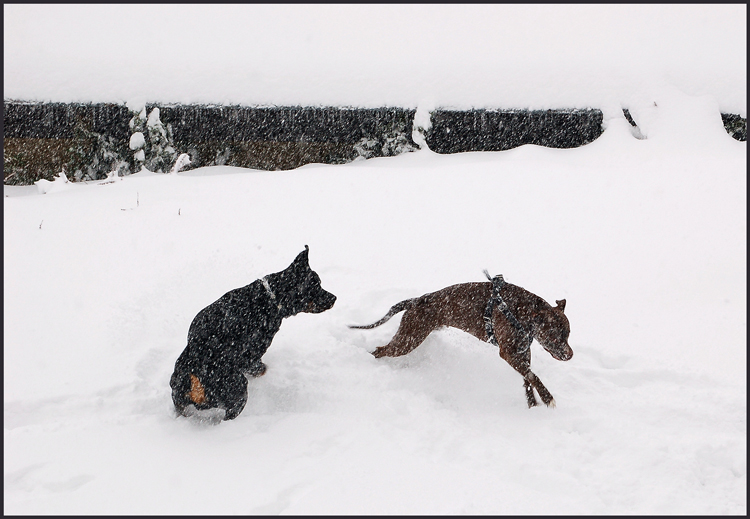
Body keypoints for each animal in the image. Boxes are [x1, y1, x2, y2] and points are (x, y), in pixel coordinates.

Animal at [170, 248, 338, 422]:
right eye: (316, 285)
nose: (334, 297)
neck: (271, 297)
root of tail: (194, 376)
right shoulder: (252, 354)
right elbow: (258, 367)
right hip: (238, 393)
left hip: (178, 396)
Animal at [352, 274, 576, 408]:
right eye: (555, 335)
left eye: (568, 334)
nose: (570, 355)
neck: (524, 312)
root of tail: (415, 300)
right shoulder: (508, 353)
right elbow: (532, 375)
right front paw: (547, 397)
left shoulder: (521, 352)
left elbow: (528, 377)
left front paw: (533, 403)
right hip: (408, 339)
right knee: (380, 350)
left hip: (410, 337)